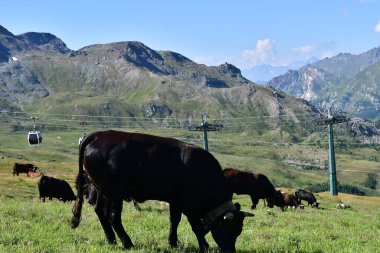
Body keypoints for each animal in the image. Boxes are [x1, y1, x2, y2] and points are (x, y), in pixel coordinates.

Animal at [72, 130, 254, 253]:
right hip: (115, 193)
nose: (230, 251)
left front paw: (173, 243)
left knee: (100, 211)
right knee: (113, 217)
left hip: (101, 190)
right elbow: (196, 226)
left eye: (239, 230)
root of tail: (98, 135)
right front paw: (204, 246)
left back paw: (111, 240)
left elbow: (174, 221)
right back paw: (127, 243)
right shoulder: (189, 204)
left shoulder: (175, 200)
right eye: (230, 229)